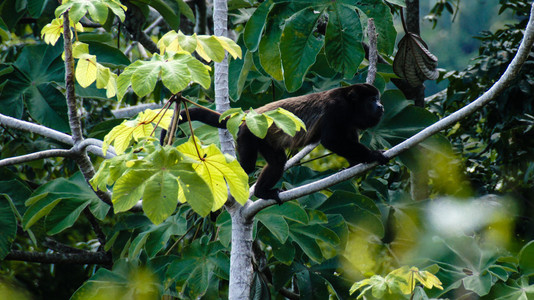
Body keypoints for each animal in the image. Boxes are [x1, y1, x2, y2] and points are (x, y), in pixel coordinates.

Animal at [168, 83, 390, 203]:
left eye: (377, 98)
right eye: (371, 100)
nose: (381, 106)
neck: (351, 105)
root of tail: (248, 116)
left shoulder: (350, 122)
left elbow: (349, 140)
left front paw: (356, 163)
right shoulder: (337, 110)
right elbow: (332, 140)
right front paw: (372, 155)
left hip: (263, 139)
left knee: (277, 162)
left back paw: (261, 192)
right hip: (248, 134)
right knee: (247, 166)